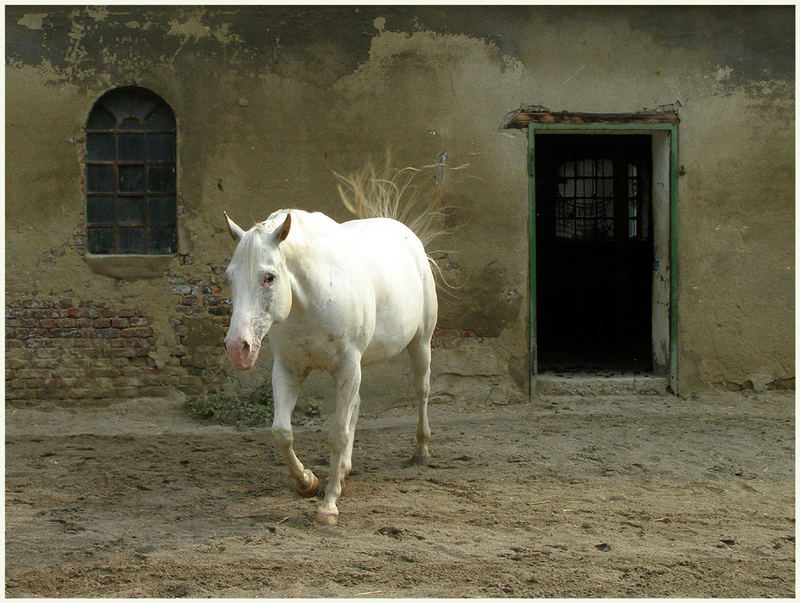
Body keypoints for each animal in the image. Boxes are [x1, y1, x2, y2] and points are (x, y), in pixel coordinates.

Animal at [223, 205, 438, 528]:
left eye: (269, 277)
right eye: (230, 277)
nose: (238, 348)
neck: (313, 297)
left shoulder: (348, 367)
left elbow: (337, 434)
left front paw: (328, 505)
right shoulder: (288, 370)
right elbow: (281, 432)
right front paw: (307, 482)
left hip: (420, 343)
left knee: (421, 391)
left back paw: (421, 452)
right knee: (356, 406)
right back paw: (345, 470)